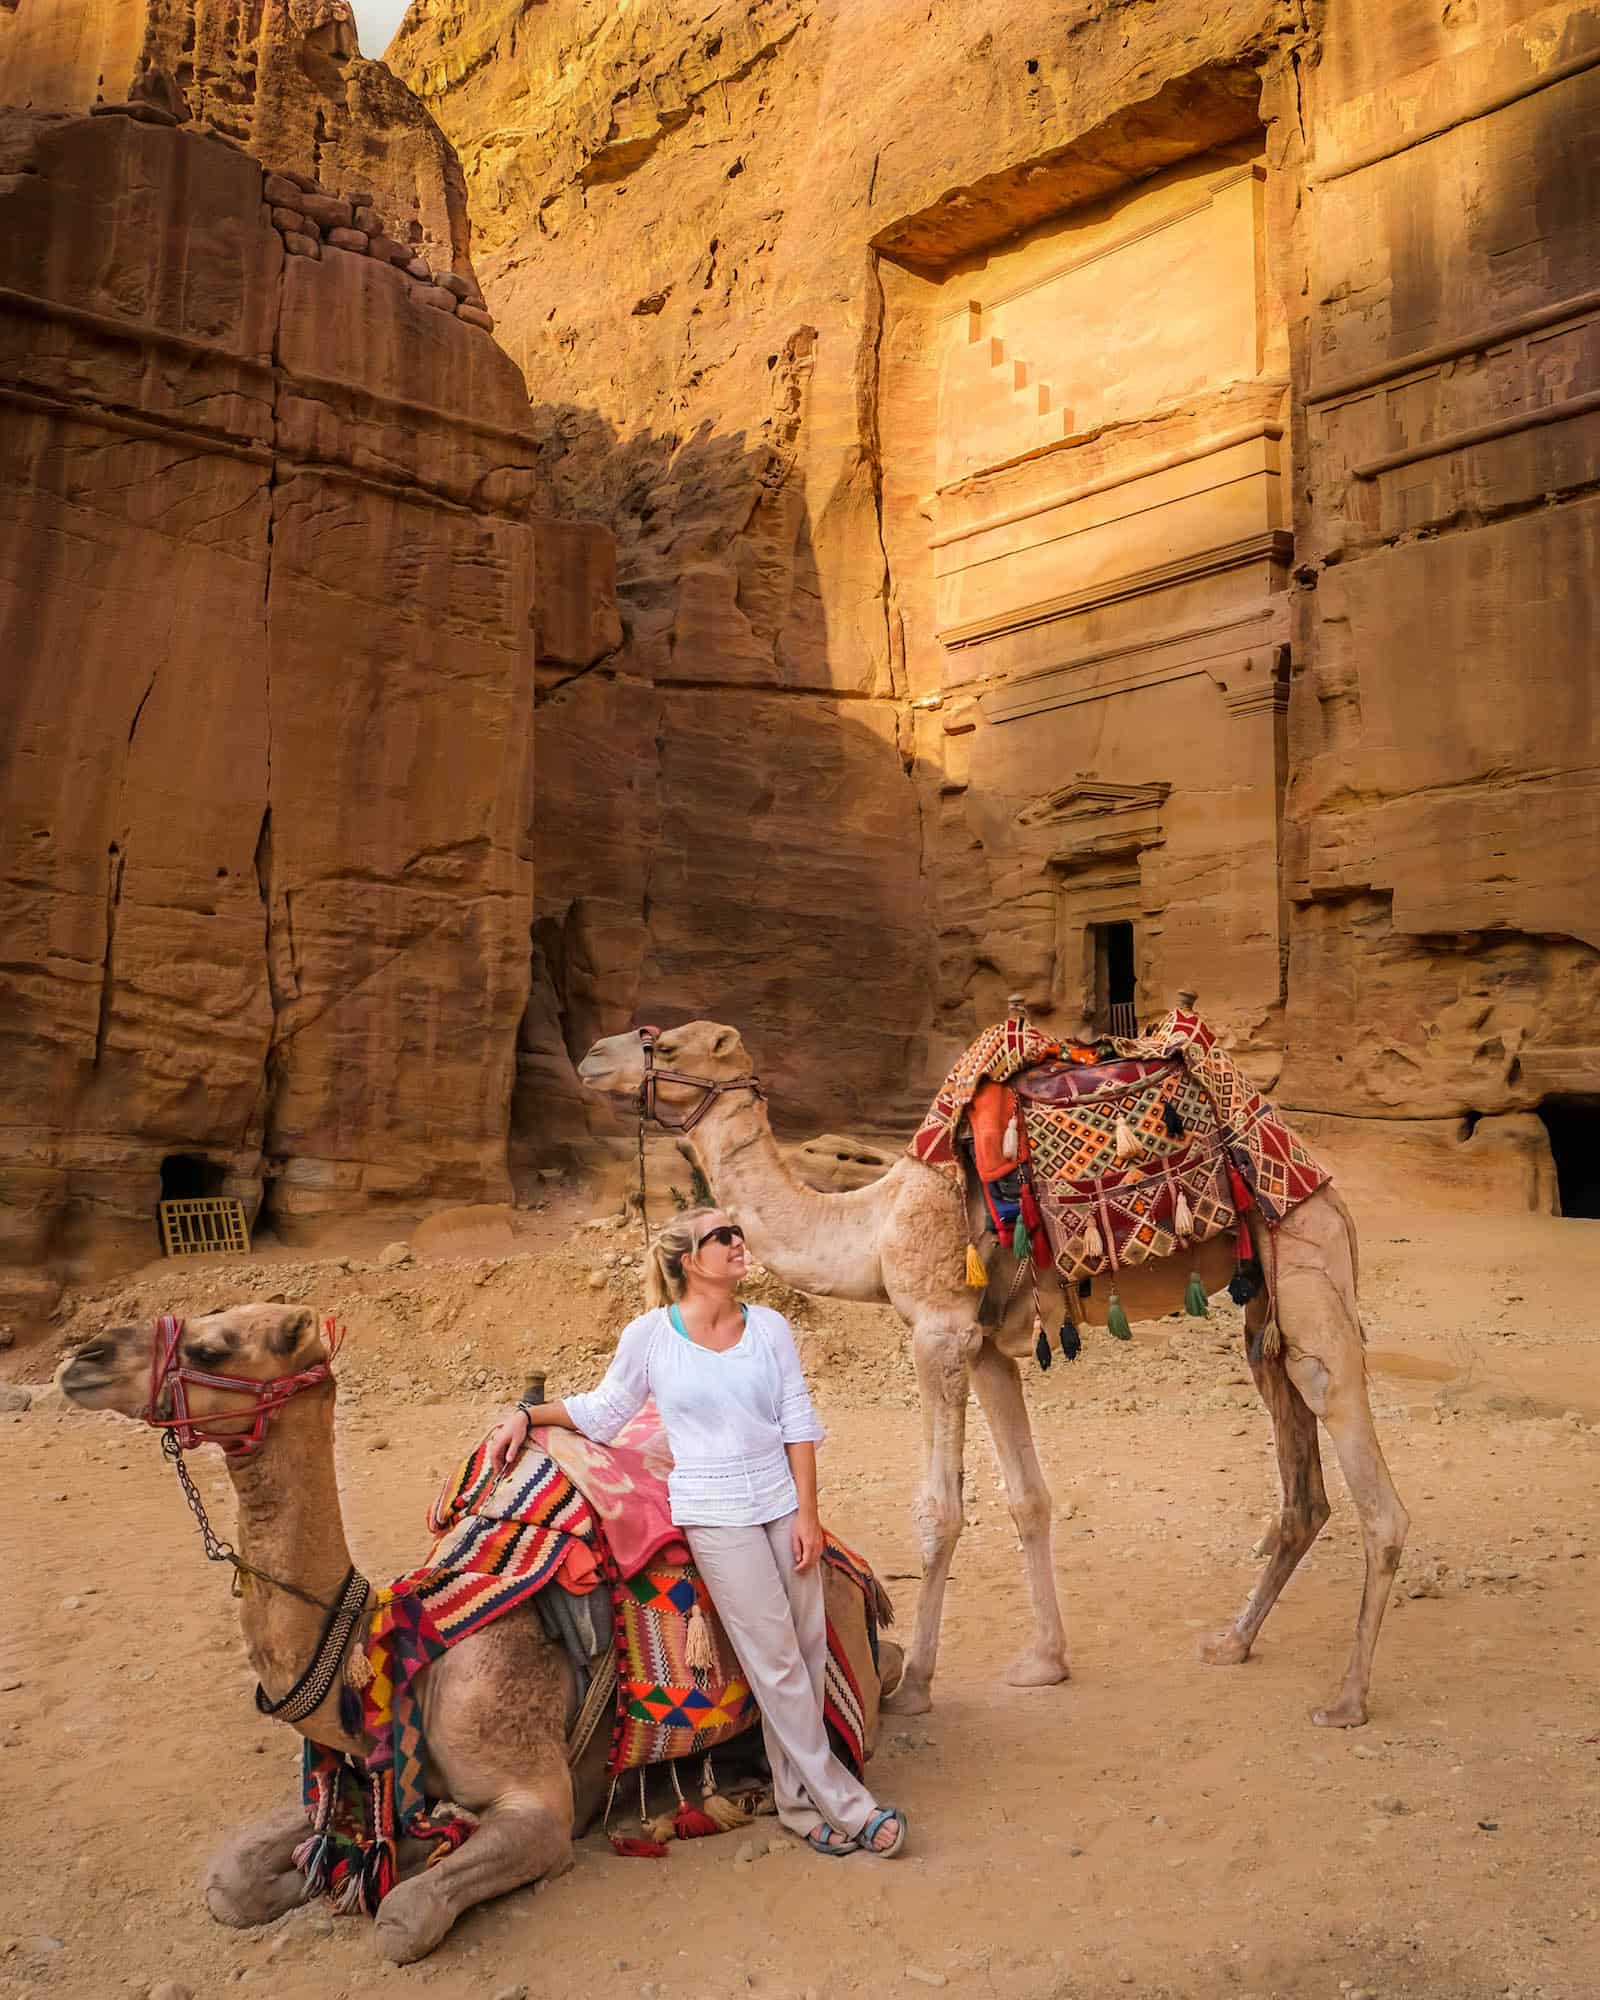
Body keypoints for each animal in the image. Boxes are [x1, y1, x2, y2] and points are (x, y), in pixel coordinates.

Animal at [56, 1304, 900, 1960]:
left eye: (212, 1347)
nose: (84, 1358)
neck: (398, 1649)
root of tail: (856, 1572)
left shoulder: (538, 1803)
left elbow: (404, 1916)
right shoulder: (379, 1771)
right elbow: (228, 1881)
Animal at [580, 1024, 1408, 1728]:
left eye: (667, 1042)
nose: (590, 1056)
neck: (872, 1226)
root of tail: (1317, 1177)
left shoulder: (938, 1331)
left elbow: (939, 1511)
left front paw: (914, 1685)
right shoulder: (983, 1348)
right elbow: (1028, 1499)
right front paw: (1045, 1662)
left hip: (1306, 1263)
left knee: (1366, 1473)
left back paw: (1347, 1698)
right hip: (1262, 1309)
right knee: (1300, 1479)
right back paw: (1232, 1641)